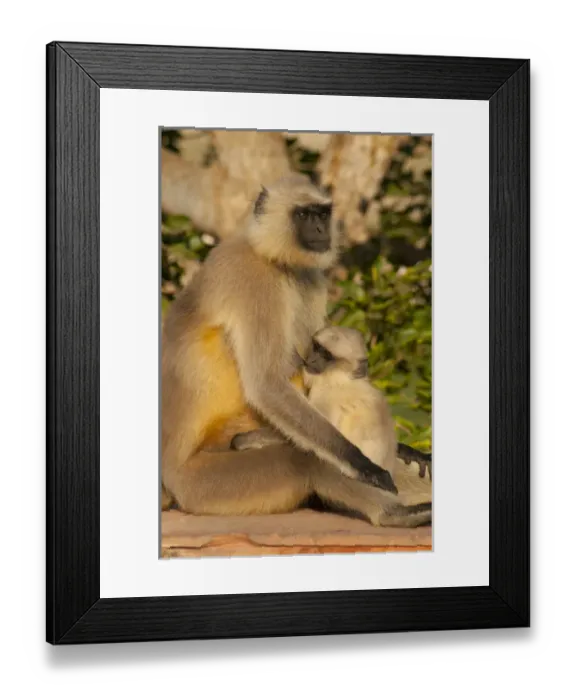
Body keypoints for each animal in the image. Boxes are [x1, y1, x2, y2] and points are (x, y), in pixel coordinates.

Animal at [161, 173, 402, 519]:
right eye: (303, 215)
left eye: (322, 214)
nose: (320, 229)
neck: (270, 257)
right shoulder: (254, 280)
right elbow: (267, 383)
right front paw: (361, 463)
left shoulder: (309, 277)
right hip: (200, 485)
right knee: (302, 460)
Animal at [231, 326, 432, 526]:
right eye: (316, 347)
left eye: (326, 356)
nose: (311, 360)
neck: (347, 379)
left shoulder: (326, 397)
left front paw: (244, 440)